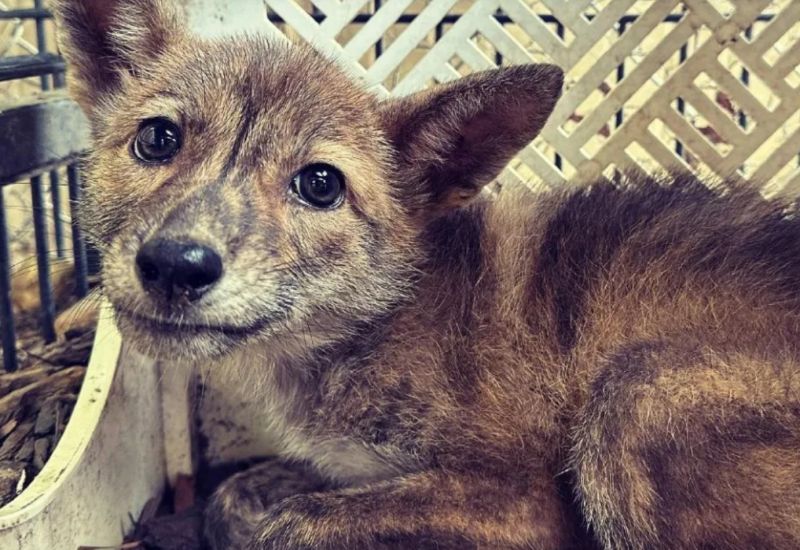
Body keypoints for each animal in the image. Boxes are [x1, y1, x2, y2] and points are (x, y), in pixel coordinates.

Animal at [51, 0, 800, 548]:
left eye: (320, 184)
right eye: (157, 139)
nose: (175, 265)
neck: (372, 324)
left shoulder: (525, 501)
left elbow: (294, 524)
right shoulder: (344, 462)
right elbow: (243, 494)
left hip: (634, 397)